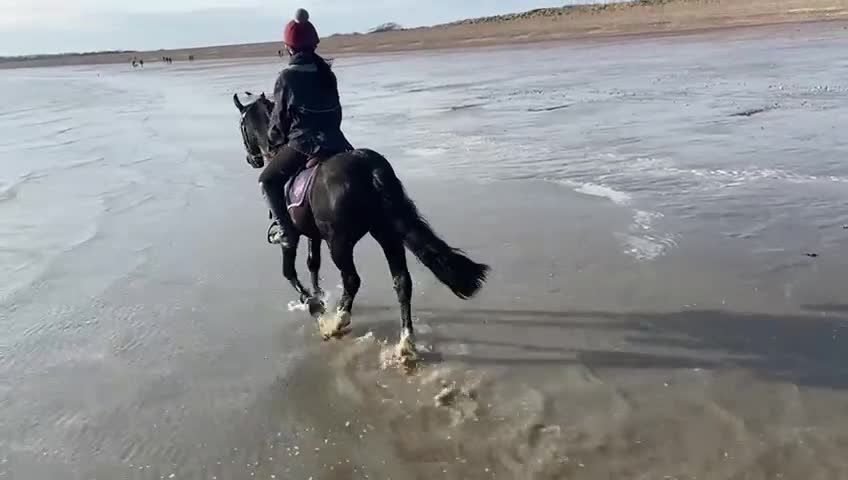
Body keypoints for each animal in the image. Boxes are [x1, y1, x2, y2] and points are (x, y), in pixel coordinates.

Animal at [232, 92, 489, 360]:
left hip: (340, 243)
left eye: (242, 126)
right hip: (387, 233)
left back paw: (337, 323)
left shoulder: (293, 237)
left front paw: (314, 306)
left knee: (352, 280)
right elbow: (313, 264)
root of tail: (368, 166)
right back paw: (406, 343)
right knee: (402, 282)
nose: (252, 159)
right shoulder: (314, 234)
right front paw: (319, 297)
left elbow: (289, 271)